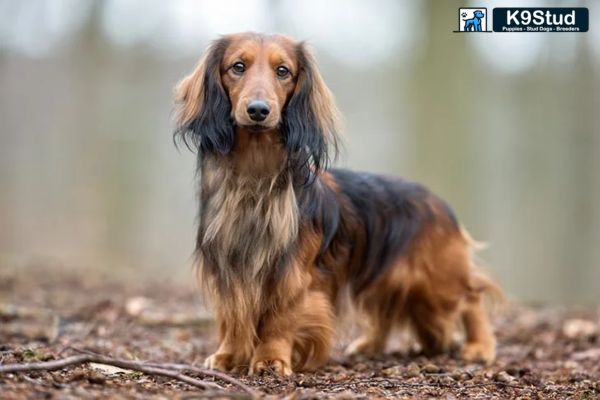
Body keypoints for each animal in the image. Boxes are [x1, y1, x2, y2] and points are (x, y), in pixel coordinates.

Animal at [175, 32, 502, 376]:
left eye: (283, 71)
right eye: (237, 66)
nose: (258, 110)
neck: (254, 177)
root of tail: (438, 201)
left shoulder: (293, 275)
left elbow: (279, 319)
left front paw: (271, 359)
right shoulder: (229, 266)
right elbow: (233, 315)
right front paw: (228, 354)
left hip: (437, 279)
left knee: (472, 296)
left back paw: (480, 346)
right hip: (387, 276)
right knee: (387, 310)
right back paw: (370, 344)